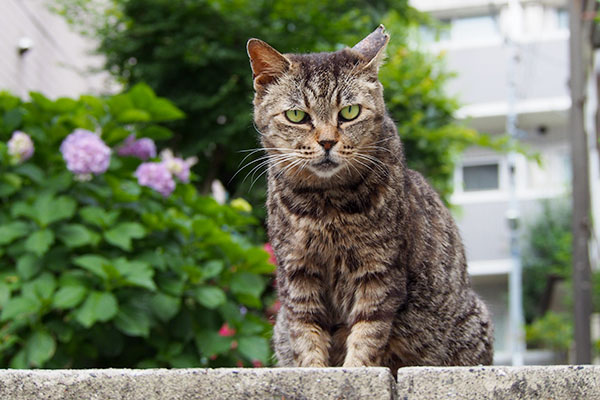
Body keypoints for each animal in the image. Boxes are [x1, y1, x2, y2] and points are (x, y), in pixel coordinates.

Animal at [246, 24, 494, 368]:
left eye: (349, 112)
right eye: (297, 115)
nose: (327, 142)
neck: (326, 203)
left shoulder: (380, 270)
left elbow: (368, 331)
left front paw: (355, 369)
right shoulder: (298, 272)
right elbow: (306, 333)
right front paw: (314, 370)